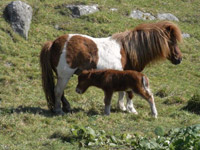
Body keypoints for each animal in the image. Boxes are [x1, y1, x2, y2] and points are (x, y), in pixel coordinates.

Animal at [39, 20, 182, 115]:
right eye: (172, 41)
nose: (179, 59)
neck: (128, 50)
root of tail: (53, 43)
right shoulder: (131, 76)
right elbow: (129, 93)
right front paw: (130, 109)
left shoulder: (123, 76)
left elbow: (122, 91)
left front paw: (121, 107)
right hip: (64, 75)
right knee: (58, 91)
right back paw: (59, 110)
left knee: (59, 92)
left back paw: (66, 107)